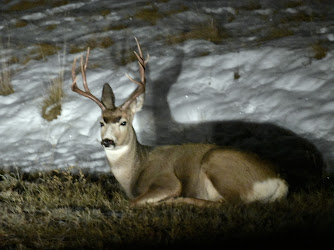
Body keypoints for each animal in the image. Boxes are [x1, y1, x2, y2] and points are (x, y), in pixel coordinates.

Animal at [71, 37, 290, 205]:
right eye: (101, 122)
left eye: (123, 122)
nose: (107, 141)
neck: (135, 171)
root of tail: (280, 180)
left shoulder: (167, 180)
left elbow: (131, 203)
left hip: (218, 163)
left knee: (230, 203)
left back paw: (179, 201)